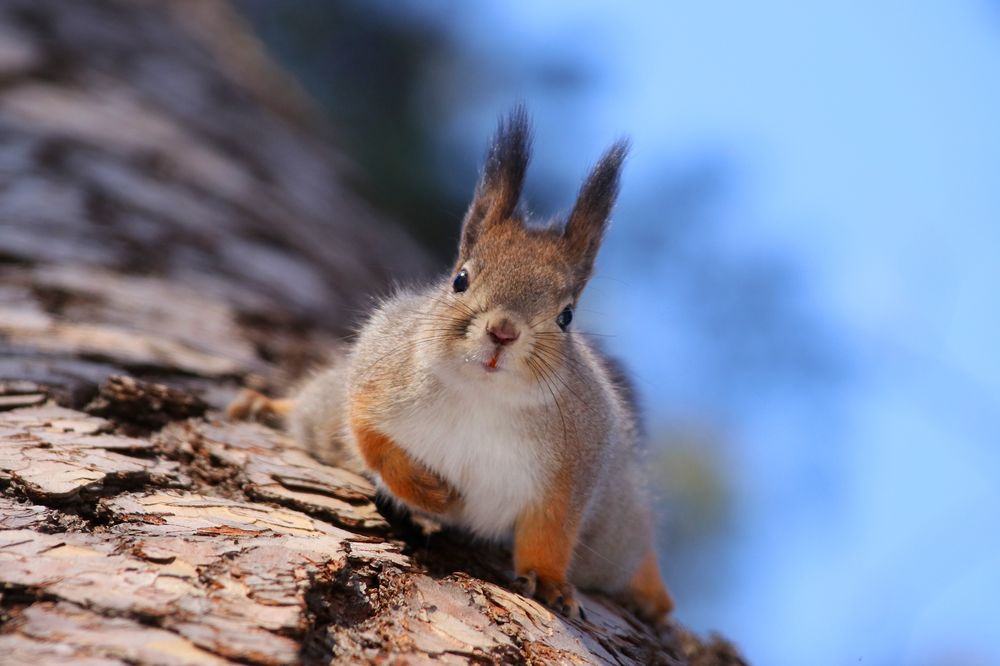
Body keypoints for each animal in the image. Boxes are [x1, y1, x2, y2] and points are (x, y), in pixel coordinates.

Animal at [230, 106, 676, 620]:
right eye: (460, 279)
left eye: (567, 315)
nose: (503, 331)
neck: (481, 395)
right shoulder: (376, 377)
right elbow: (370, 438)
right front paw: (430, 492)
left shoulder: (575, 462)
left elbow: (552, 529)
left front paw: (547, 579)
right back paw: (265, 406)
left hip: (612, 530)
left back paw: (653, 592)